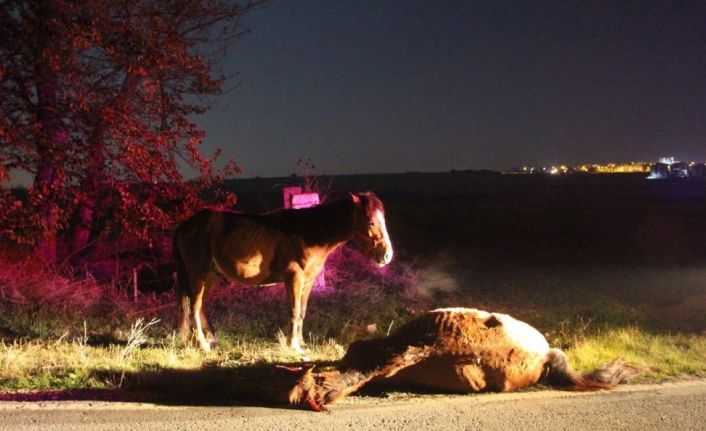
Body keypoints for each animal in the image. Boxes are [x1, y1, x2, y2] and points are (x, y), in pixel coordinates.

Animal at [170, 193, 390, 354]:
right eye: (370, 221)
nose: (386, 255)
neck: (308, 233)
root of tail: (184, 225)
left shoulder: (308, 282)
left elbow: (301, 312)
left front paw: (301, 343)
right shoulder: (294, 279)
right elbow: (293, 311)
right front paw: (293, 346)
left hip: (211, 276)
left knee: (199, 306)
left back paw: (212, 340)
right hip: (199, 275)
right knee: (194, 307)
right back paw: (203, 344)